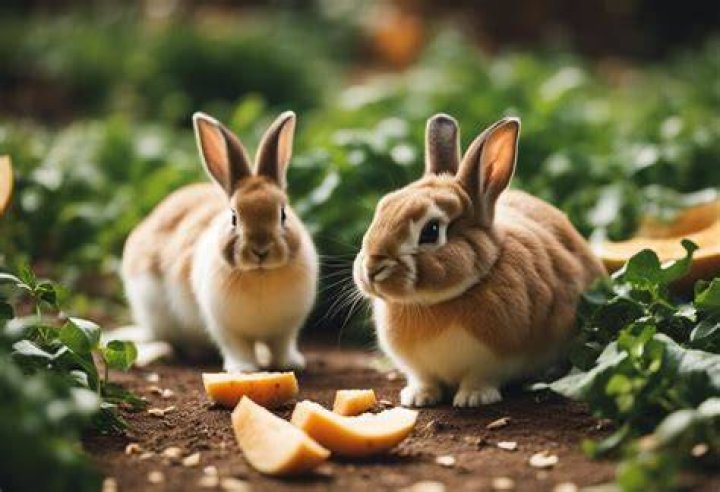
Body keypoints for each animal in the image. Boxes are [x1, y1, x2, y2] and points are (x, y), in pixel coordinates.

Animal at [122, 111, 318, 372]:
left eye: (283, 214)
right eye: (234, 217)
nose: (260, 250)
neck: (261, 275)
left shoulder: (284, 330)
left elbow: (281, 345)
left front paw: (291, 363)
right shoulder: (225, 327)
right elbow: (237, 347)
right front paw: (244, 369)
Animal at [353, 114, 606, 407]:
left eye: (431, 231)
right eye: (382, 207)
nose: (372, 269)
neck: (436, 302)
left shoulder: (495, 360)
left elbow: (480, 378)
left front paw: (473, 399)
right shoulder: (418, 367)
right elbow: (424, 379)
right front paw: (418, 398)